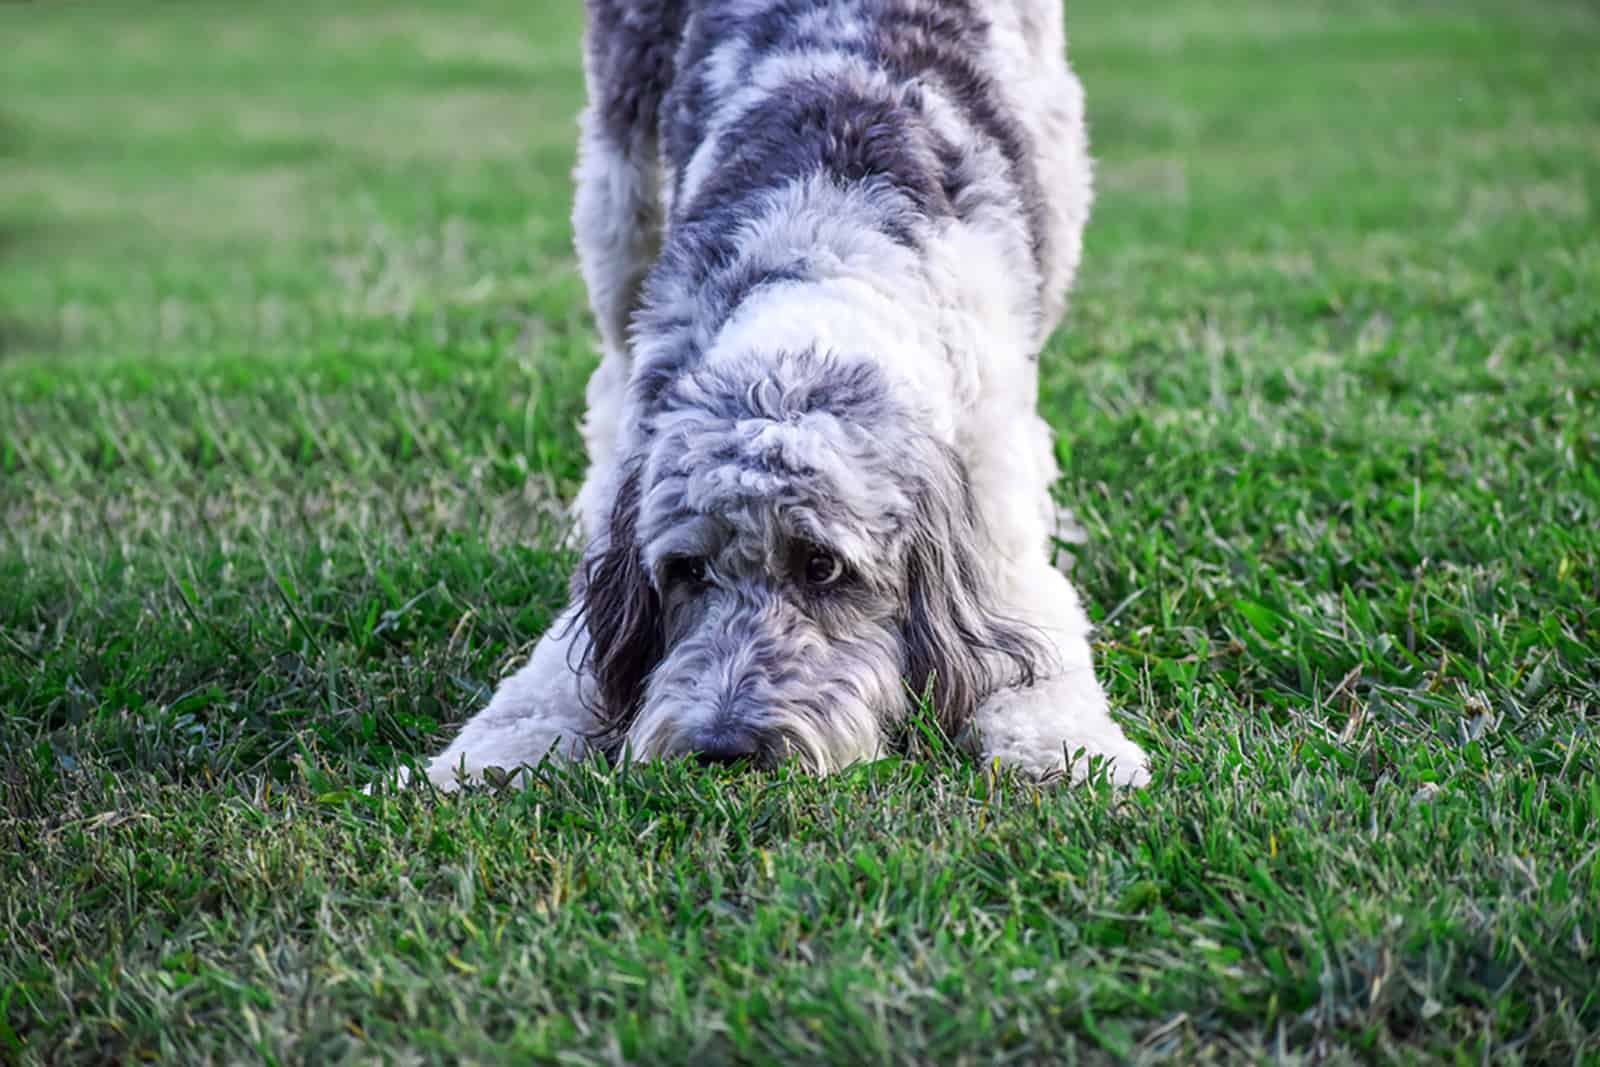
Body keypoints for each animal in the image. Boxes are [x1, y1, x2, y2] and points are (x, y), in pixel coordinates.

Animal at [422, 0, 1152, 783]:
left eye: (822, 565)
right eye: (684, 570)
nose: (724, 748)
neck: (822, 268)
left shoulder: (993, 520)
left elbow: (1039, 656)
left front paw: (1074, 755)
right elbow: (555, 673)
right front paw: (479, 761)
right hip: (619, 194)